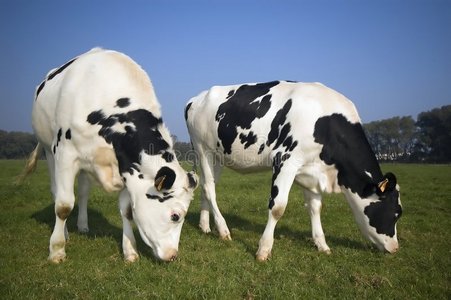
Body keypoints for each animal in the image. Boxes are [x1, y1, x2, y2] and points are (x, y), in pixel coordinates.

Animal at [20, 48, 198, 262]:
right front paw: (56, 251)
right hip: (49, 151)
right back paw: (65, 234)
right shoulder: (65, 154)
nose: (172, 255)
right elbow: (63, 206)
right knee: (57, 193)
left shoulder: (126, 166)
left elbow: (127, 211)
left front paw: (130, 251)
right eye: (175, 216)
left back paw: (83, 225)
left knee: (83, 192)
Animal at [185, 81, 404, 262]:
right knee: (209, 188)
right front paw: (263, 250)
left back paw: (205, 226)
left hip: (218, 156)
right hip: (203, 149)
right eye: (395, 213)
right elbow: (277, 208)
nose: (395, 248)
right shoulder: (285, 160)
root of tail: (195, 98)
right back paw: (223, 231)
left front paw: (322, 245)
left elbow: (315, 207)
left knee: (207, 186)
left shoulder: (311, 171)